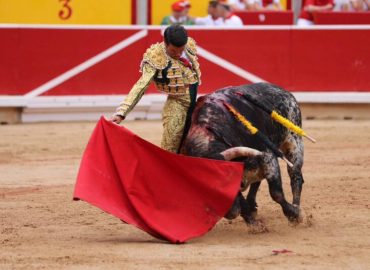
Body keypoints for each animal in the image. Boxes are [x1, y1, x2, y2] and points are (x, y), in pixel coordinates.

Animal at [181, 83, 304, 225]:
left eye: (224, 180)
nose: (229, 213)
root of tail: (284, 91)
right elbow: (242, 201)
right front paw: (253, 222)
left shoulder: (267, 155)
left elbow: (276, 193)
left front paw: (294, 214)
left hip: (294, 142)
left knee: (295, 176)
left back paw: (296, 208)